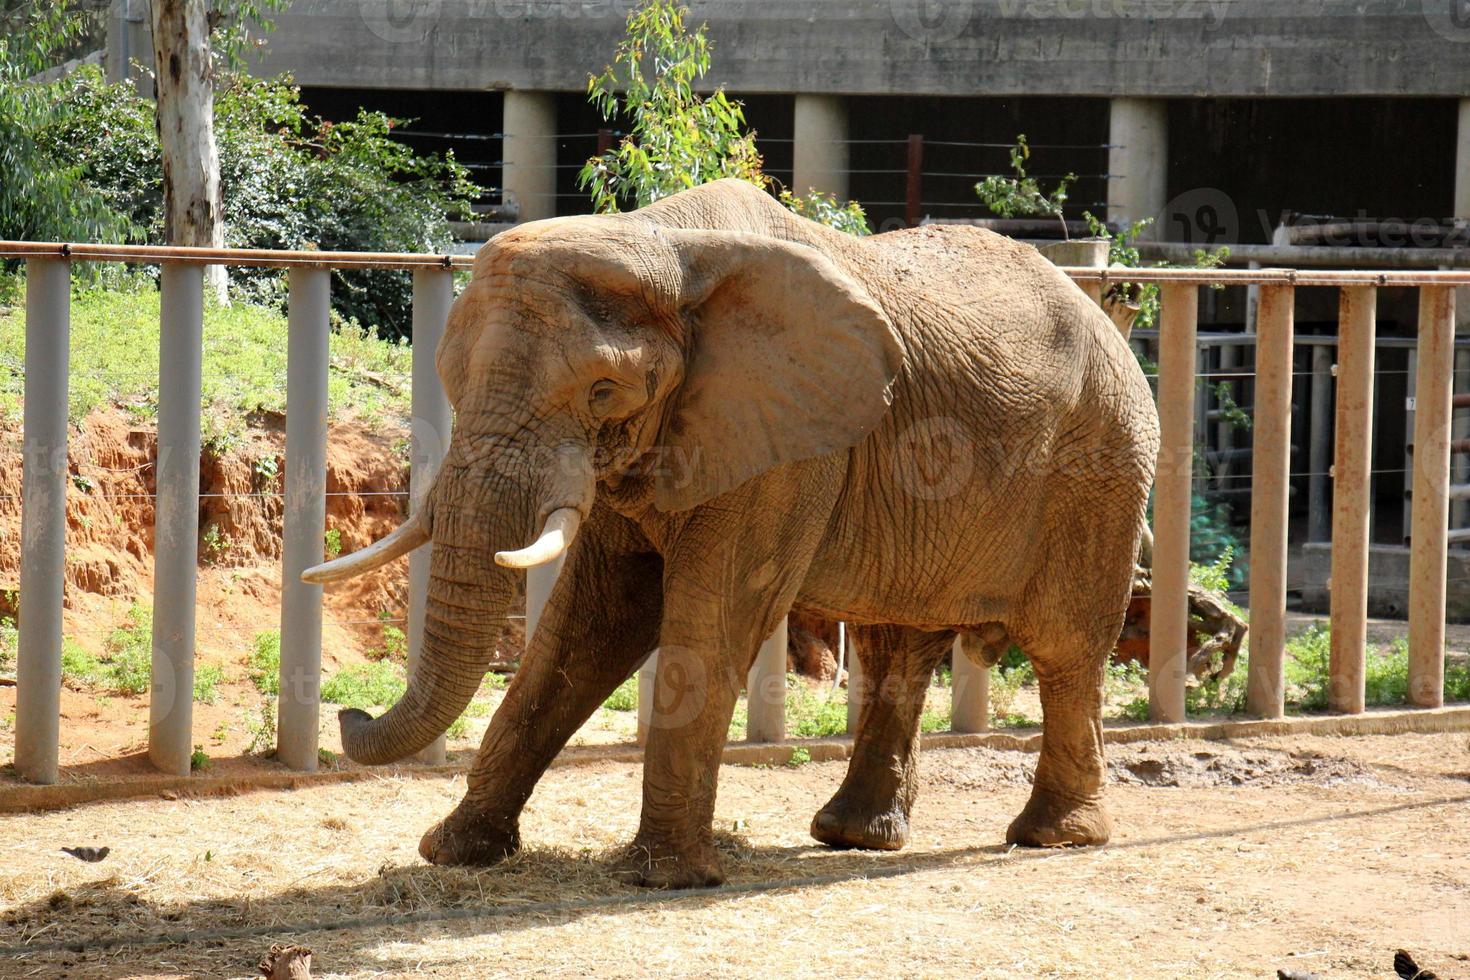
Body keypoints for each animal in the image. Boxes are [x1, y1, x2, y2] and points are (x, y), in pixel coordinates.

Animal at [304, 176, 1158, 887]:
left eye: (604, 390)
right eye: (448, 381)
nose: (349, 716)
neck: (661, 242)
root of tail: (1110, 316)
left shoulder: (786, 444)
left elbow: (710, 618)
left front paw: (662, 878)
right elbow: (590, 624)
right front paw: (453, 852)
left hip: (1101, 463)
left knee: (1064, 647)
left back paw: (1054, 838)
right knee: (897, 643)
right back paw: (853, 837)